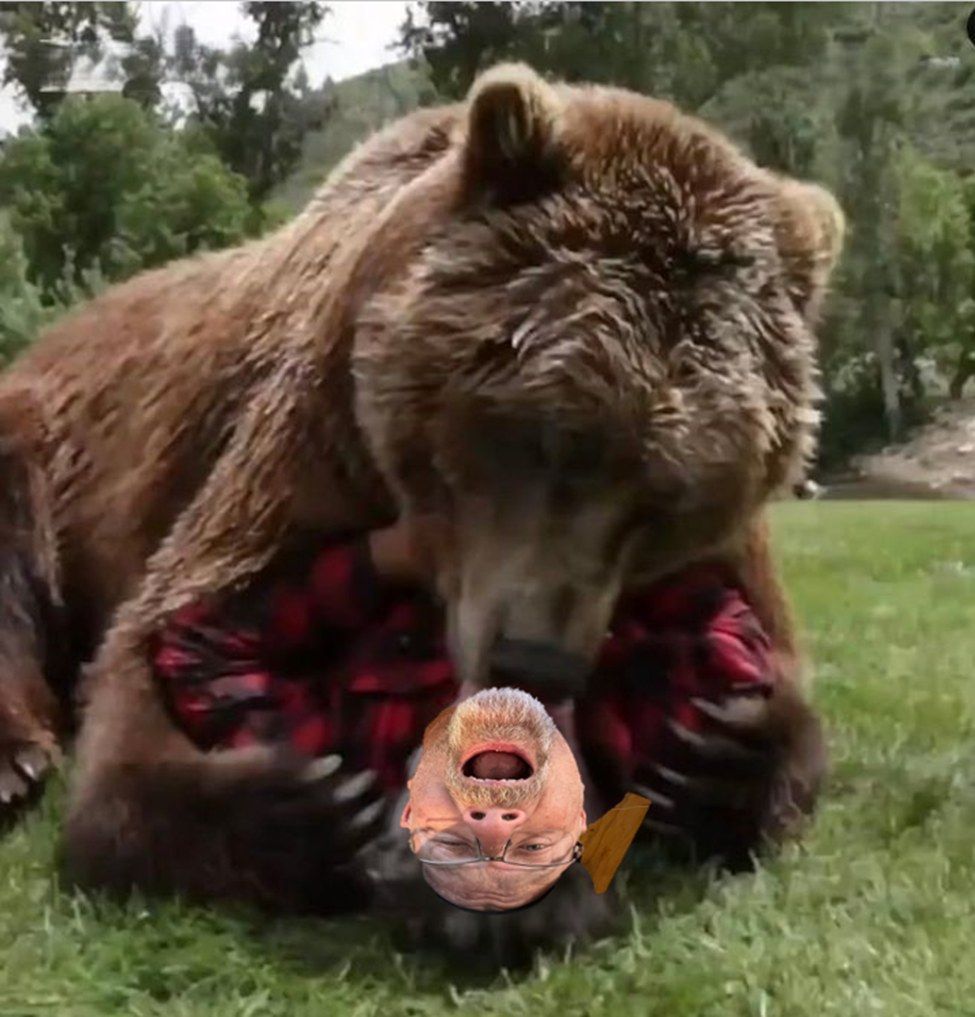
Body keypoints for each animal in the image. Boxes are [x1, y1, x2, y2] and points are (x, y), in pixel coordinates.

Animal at [0, 64, 841, 944]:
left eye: (666, 499)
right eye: (550, 438)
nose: (536, 658)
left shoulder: (718, 551)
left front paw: (712, 752)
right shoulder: (312, 444)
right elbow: (151, 661)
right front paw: (311, 804)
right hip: (41, 437)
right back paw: (14, 760)